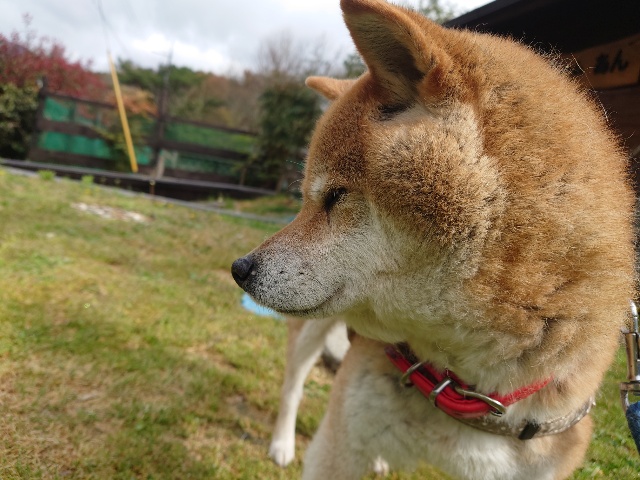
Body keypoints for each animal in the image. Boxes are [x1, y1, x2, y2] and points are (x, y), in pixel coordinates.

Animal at [232, 0, 636, 478]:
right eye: (308, 199)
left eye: (336, 195)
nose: (240, 268)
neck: (462, 385)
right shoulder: (340, 444)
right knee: (293, 385)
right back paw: (281, 443)